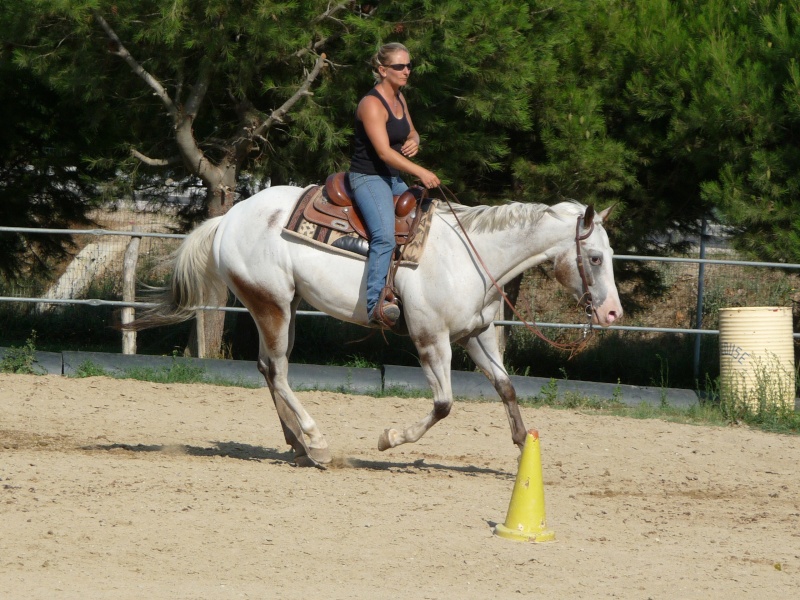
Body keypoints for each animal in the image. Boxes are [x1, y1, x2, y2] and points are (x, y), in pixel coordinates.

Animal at [131, 185, 620, 466]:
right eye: (595, 257)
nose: (613, 314)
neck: (473, 255)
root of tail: (227, 219)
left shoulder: (475, 335)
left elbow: (506, 386)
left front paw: (523, 452)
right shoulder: (431, 340)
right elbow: (444, 404)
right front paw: (390, 439)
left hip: (284, 306)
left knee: (268, 368)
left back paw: (296, 443)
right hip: (272, 304)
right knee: (282, 372)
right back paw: (317, 442)